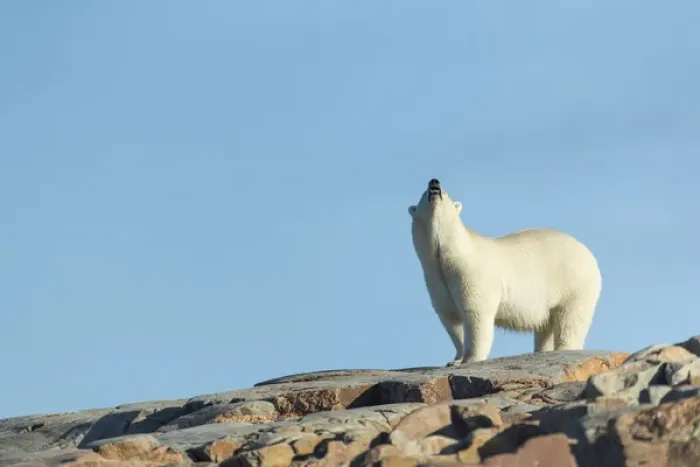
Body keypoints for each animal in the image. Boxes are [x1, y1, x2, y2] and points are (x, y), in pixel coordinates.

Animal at [408, 178, 602, 366]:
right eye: (423, 193)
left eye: (446, 192)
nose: (434, 182)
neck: (451, 256)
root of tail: (589, 253)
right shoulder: (436, 278)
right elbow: (451, 319)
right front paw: (455, 360)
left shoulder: (472, 277)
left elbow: (475, 315)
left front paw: (471, 358)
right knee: (546, 324)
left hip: (573, 283)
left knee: (571, 318)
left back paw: (564, 348)